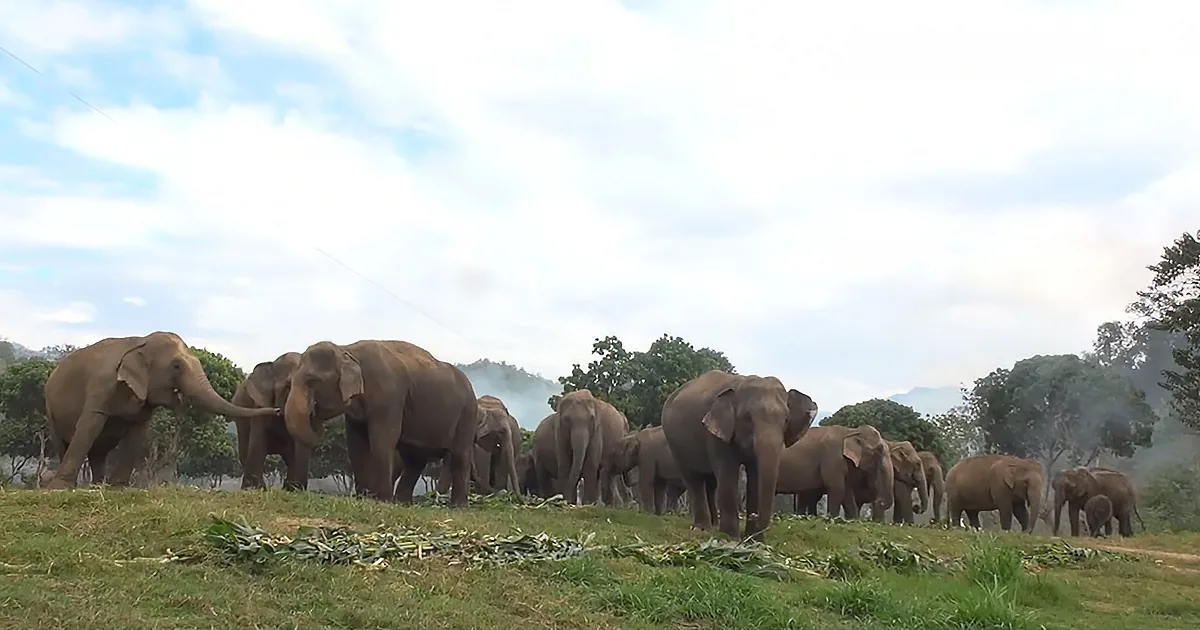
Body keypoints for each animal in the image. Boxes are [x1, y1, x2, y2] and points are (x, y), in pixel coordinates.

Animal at [41, 331, 281, 490]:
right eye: (176, 366)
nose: (278, 410)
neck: (140, 342)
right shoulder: (101, 386)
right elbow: (89, 426)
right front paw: (59, 488)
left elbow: (137, 434)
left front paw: (118, 488)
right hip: (51, 409)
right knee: (65, 442)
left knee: (98, 452)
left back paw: (98, 485)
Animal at [281, 339, 478, 505]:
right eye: (289, 382)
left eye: (312, 380)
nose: (294, 488)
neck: (347, 349)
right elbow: (356, 445)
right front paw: (363, 498)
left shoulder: (389, 398)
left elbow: (382, 440)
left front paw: (381, 500)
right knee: (415, 460)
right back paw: (402, 504)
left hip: (468, 414)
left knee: (459, 457)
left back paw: (457, 507)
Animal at [661, 369, 818, 541]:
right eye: (748, 417)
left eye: (786, 420)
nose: (754, 516)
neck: (739, 383)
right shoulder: (716, 434)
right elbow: (728, 475)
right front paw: (731, 538)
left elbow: (755, 478)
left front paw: (753, 540)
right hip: (674, 442)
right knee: (693, 479)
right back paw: (701, 529)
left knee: (711, 483)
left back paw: (714, 525)